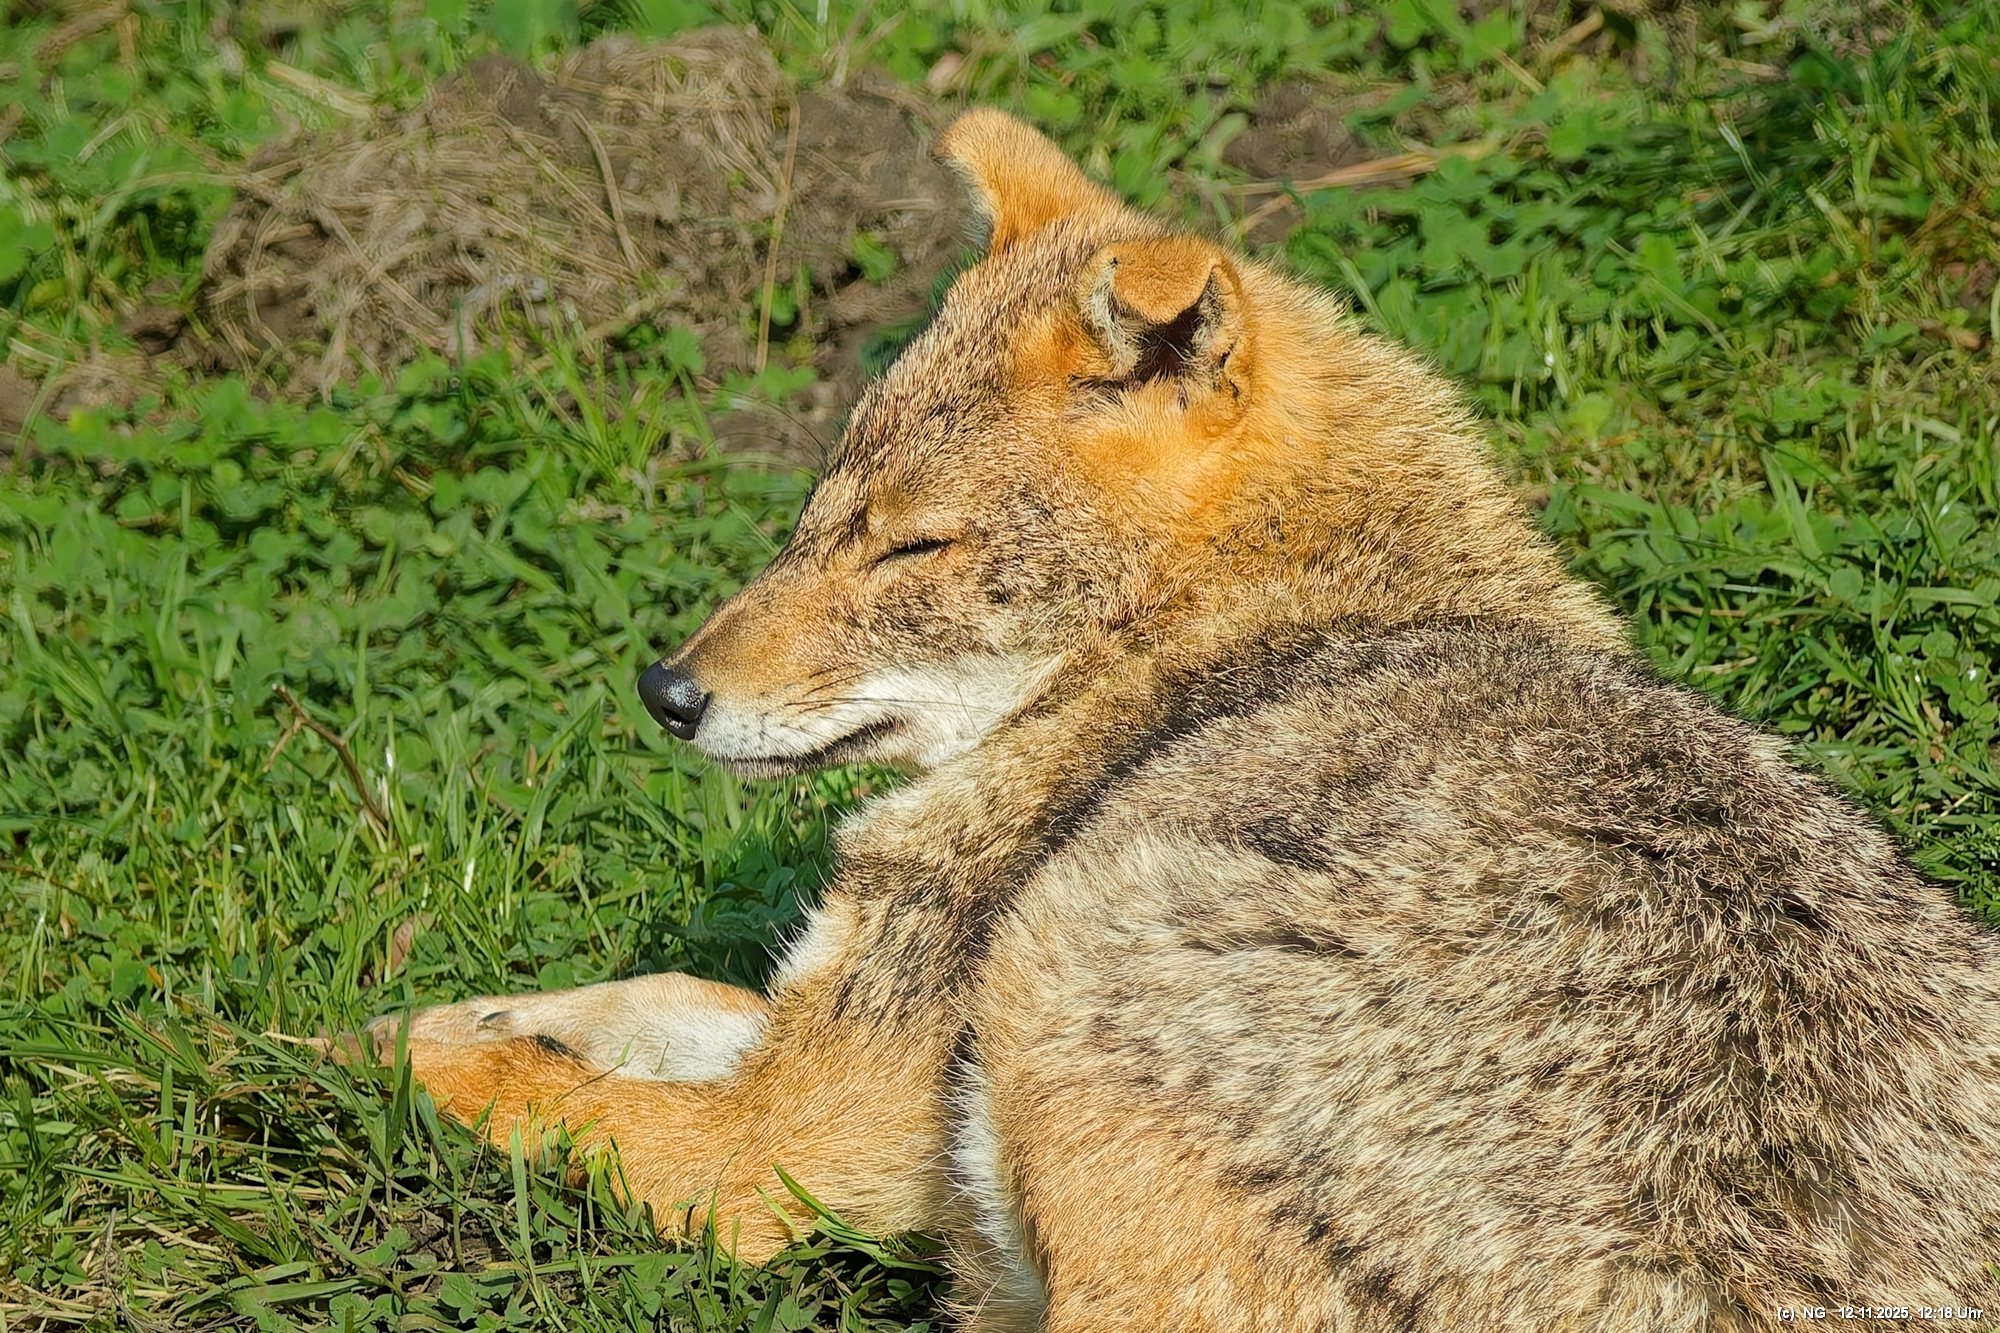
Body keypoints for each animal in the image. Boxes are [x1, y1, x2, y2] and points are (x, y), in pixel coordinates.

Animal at [367, 110, 2000, 1330]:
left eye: (911, 549)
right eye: (821, 513)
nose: (668, 692)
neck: (1238, 631)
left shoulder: (789, 1145)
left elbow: (517, 1093)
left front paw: (332, 1051)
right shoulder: (816, 1026)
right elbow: (626, 1002)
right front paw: (436, 1007)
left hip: (1049, 979)